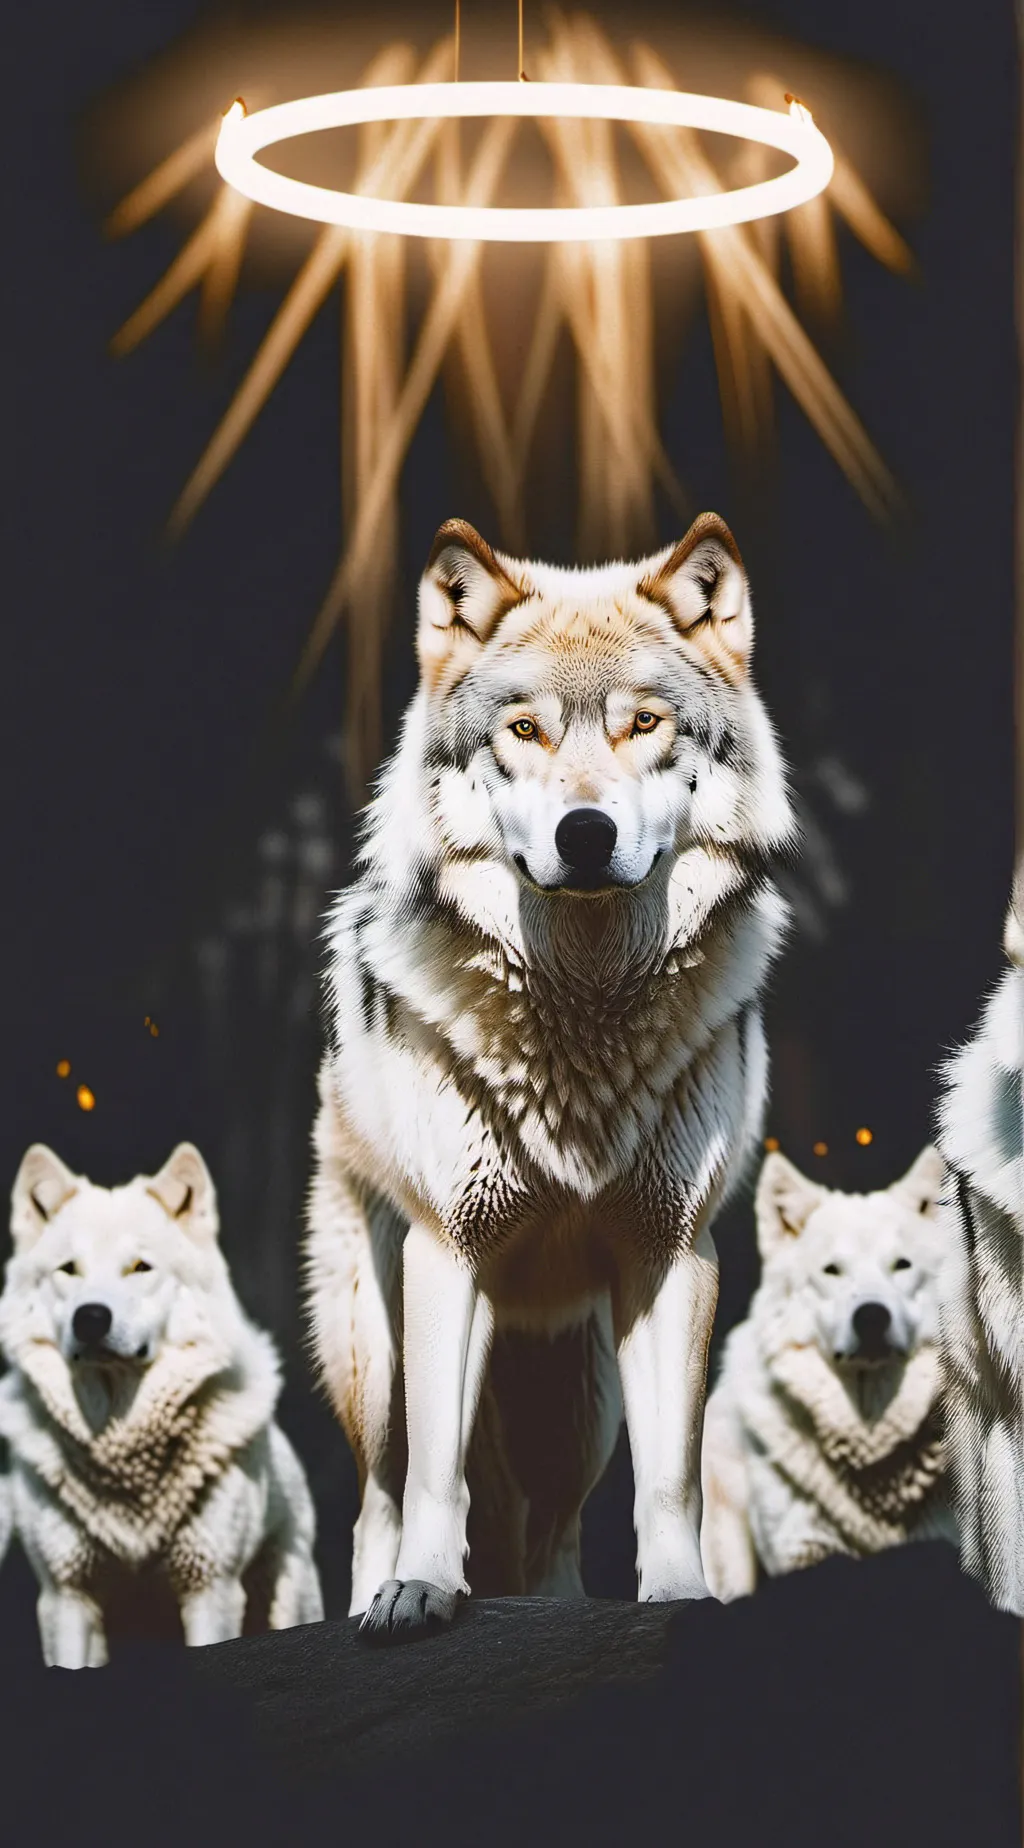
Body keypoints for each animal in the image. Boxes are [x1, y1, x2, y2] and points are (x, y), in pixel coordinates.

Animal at [305, 511, 796, 1638]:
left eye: (645, 725)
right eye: (523, 732)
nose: (586, 833)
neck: (583, 1015)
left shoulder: (672, 1257)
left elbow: (672, 1480)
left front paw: (680, 1595)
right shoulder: (451, 1253)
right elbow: (437, 1475)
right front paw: (422, 1591)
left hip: (578, 1401)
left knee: (554, 1532)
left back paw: (559, 1602)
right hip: (375, 1350)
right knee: (381, 1490)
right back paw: (372, 1596)